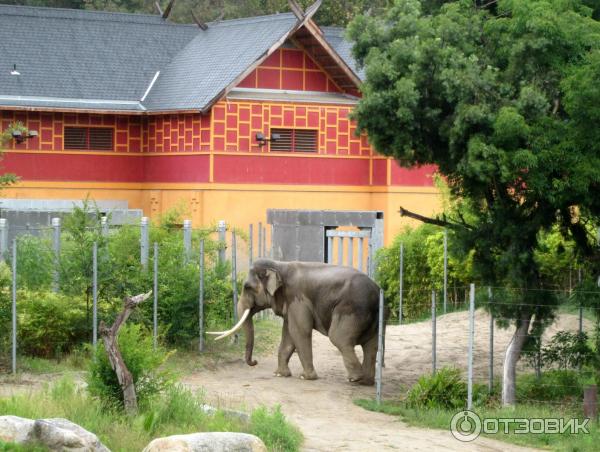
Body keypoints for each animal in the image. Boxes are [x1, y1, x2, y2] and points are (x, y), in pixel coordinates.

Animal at [207, 258, 384, 384]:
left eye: (247, 287)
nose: (255, 361)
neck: (279, 265)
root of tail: (376, 292)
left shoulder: (297, 299)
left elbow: (299, 331)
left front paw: (305, 377)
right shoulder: (290, 305)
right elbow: (288, 334)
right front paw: (280, 374)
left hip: (350, 309)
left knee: (339, 338)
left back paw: (354, 378)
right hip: (375, 317)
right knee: (372, 344)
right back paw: (366, 381)